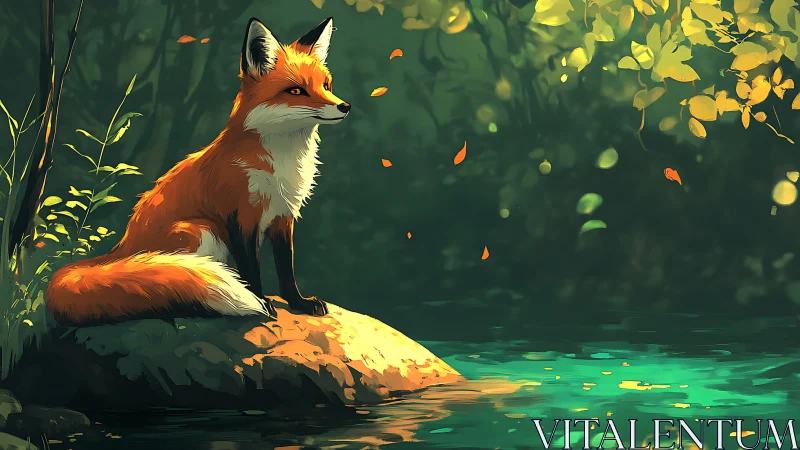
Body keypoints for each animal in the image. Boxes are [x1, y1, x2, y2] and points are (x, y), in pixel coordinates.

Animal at [45, 17, 350, 326]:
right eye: (297, 90)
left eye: (326, 85)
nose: (345, 106)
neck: (283, 163)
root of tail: (122, 250)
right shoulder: (241, 216)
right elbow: (251, 270)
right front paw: (261, 301)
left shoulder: (283, 215)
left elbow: (286, 270)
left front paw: (299, 303)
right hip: (201, 230)